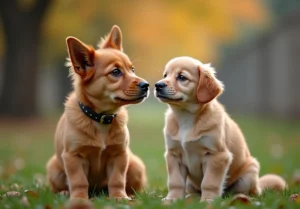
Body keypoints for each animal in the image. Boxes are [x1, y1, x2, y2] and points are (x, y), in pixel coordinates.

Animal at [46, 25, 148, 200]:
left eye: (132, 69)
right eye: (115, 72)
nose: (147, 85)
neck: (101, 117)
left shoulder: (119, 155)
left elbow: (117, 179)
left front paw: (119, 197)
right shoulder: (73, 156)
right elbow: (78, 181)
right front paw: (79, 199)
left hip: (135, 165)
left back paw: (129, 195)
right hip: (54, 169)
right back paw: (65, 192)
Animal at [155, 56, 286, 202]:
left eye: (182, 77)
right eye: (165, 75)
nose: (157, 85)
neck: (185, 116)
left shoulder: (217, 155)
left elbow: (209, 182)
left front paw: (208, 200)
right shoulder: (173, 154)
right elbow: (175, 182)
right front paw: (172, 199)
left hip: (249, 173)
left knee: (240, 193)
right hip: (190, 182)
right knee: (195, 191)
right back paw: (191, 197)